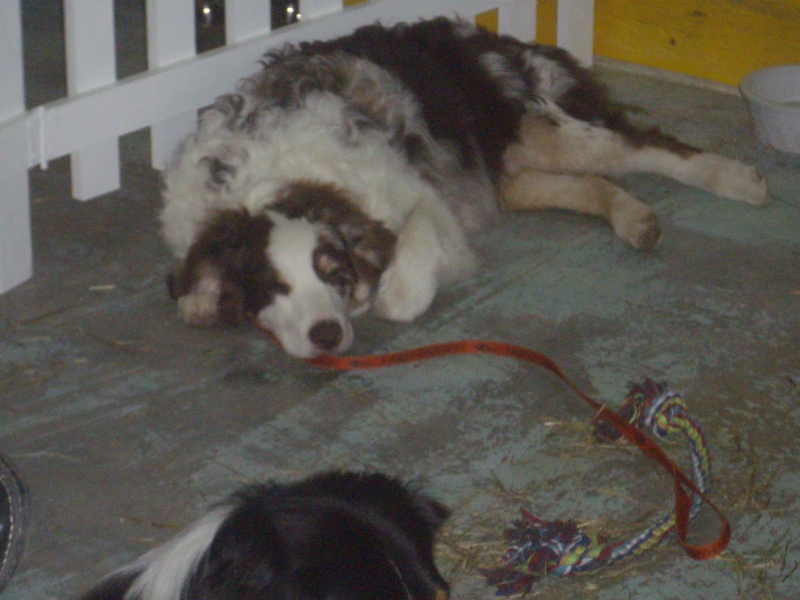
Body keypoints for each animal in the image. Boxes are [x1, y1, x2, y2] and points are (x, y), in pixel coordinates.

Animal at [161, 17, 764, 356]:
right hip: (509, 171)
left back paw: (734, 178)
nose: (327, 335)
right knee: (585, 183)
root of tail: (489, 34)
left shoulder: (428, 206)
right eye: (272, 285)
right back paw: (635, 219)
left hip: (542, 127)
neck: (272, 184)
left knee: (644, 143)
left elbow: (404, 280)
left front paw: (385, 292)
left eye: (331, 271)